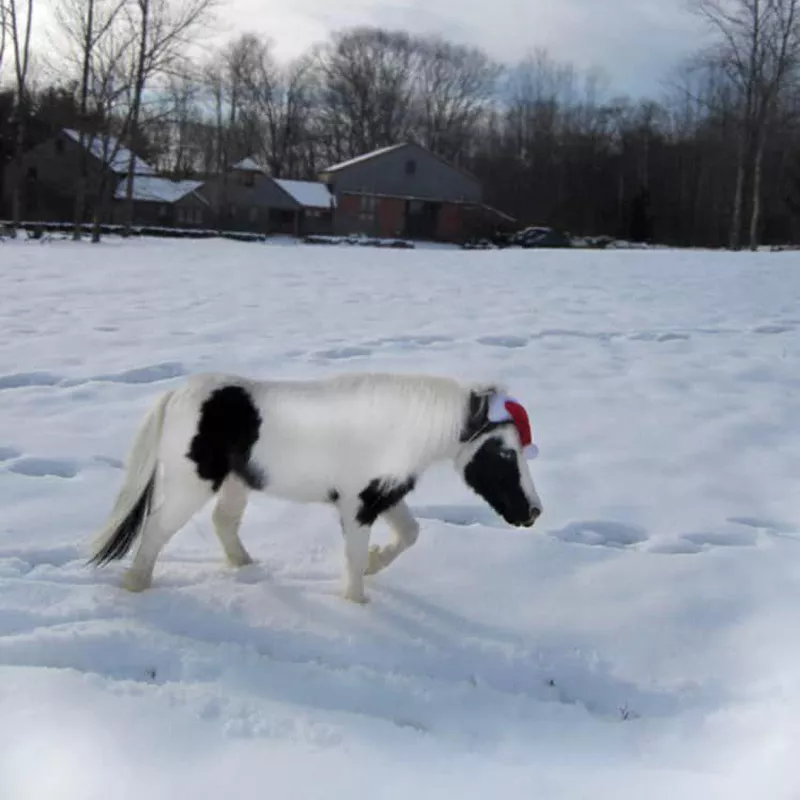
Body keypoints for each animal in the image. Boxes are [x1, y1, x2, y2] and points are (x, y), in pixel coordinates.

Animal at [89, 372, 544, 604]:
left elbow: (409, 534)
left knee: (223, 522)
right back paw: (137, 586)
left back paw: (247, 567)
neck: (392, 429)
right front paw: (358, 603)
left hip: (236, 482)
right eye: (504, 453)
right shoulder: (357, 505)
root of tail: (175, 395)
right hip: (191, 485)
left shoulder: (383, 495)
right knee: (157, 528)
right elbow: (355, 558)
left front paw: (375, 563)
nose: (533, 512)